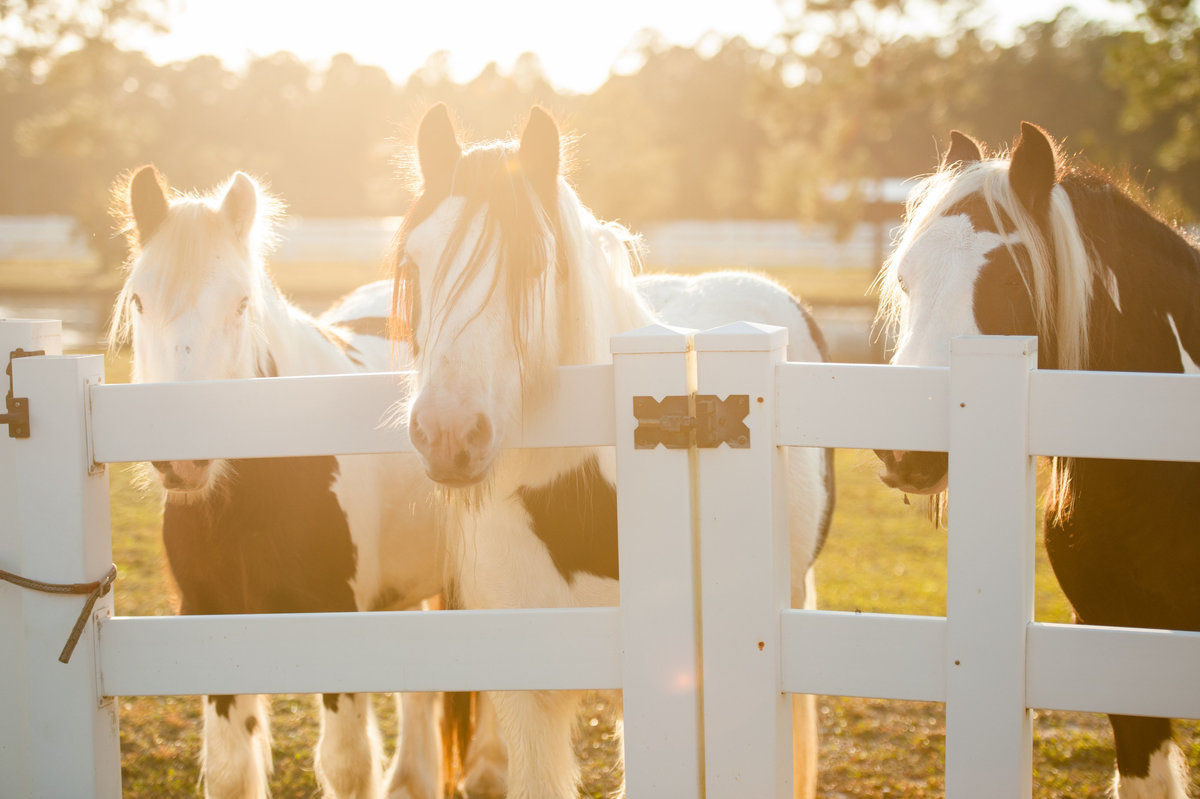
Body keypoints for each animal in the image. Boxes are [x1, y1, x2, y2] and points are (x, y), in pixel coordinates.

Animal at [108, 166, 506, 796]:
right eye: (141, 301)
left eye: (241, 302)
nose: (182, 460)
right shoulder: (210, 621)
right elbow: (230, 771)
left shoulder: (334, 622)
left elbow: (346, 763)